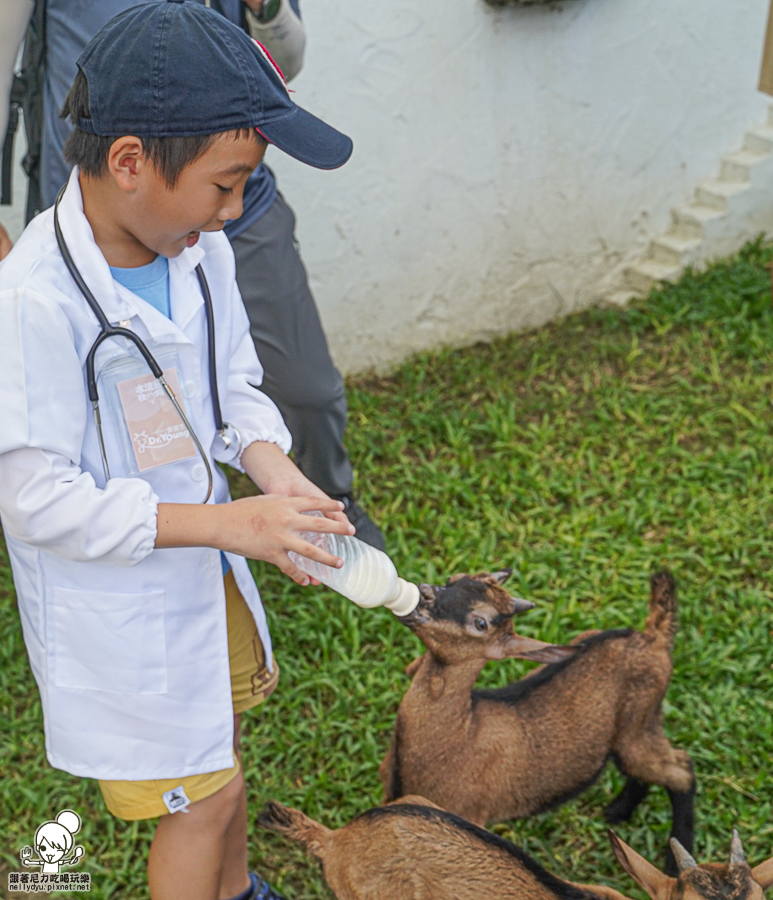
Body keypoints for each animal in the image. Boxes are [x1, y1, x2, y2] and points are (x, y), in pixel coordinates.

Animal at [380, 568, 692, 872]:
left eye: (481, 623)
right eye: (452, 579)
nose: (423, 593)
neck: (462, 733)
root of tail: (652, 639)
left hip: (640, 723)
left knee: (682, 770)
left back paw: (674, 864)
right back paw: (617, 813)